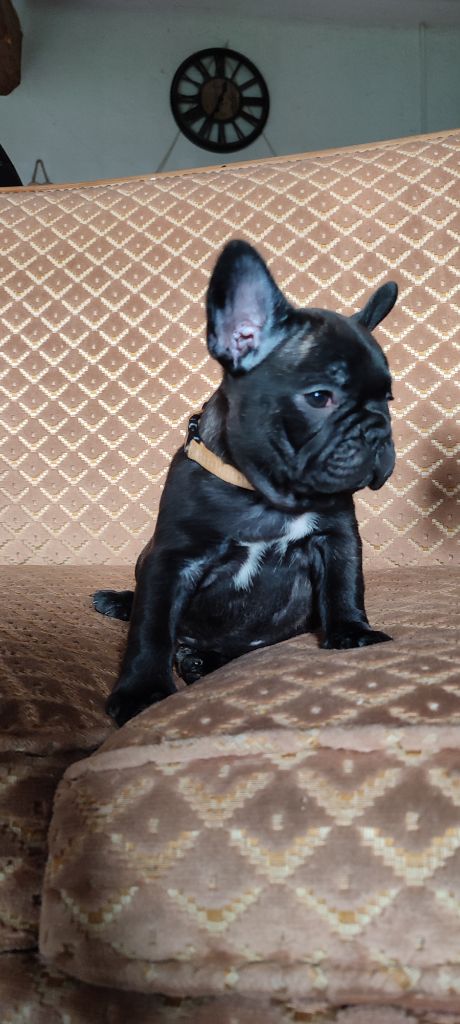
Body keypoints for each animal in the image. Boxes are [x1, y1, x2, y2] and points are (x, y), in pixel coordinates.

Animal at [94, 240, 397, 727]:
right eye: (320, 398)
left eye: (386, 399)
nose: (377, 431)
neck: (266, 496)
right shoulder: (172, 559)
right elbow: (151, 628)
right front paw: (141, 692)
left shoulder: (337, 538)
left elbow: (345, 585)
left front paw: (353, 631)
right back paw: (123, 604)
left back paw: (201, 662)